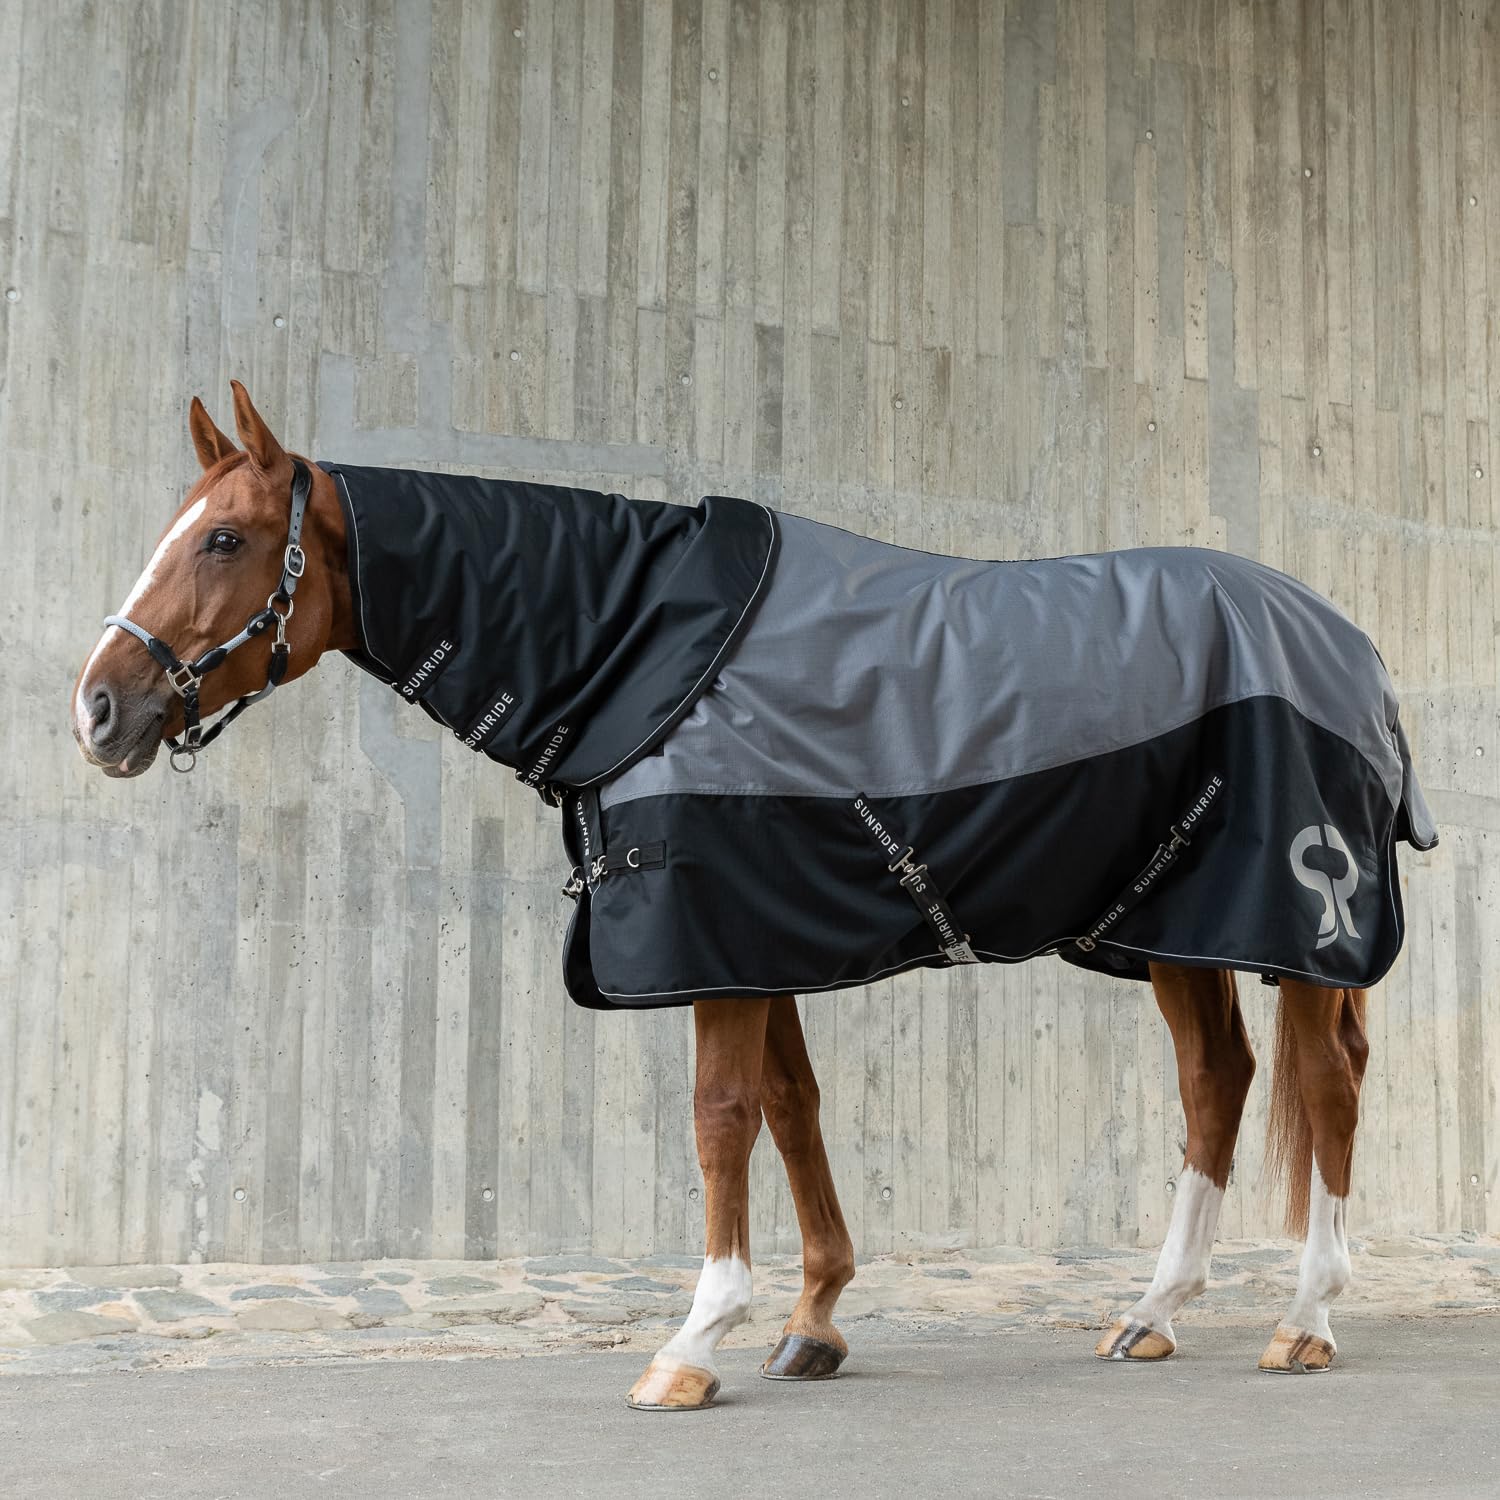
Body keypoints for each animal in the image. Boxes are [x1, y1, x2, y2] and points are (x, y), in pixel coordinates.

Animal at [73, 382, 1428, 1407]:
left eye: (225, 538)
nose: (97, 710)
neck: (645, 645)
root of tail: (1353, 647)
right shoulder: (753, 933)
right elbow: (791, 1106)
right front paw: (814, 1318)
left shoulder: (707, 931)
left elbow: (722, 1116)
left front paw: (692, 1342)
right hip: (1171, 929)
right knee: (1218, 1082)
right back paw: (1152, 1311)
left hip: (1293, 918)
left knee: (1322, 1082)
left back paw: (1306, 1321)